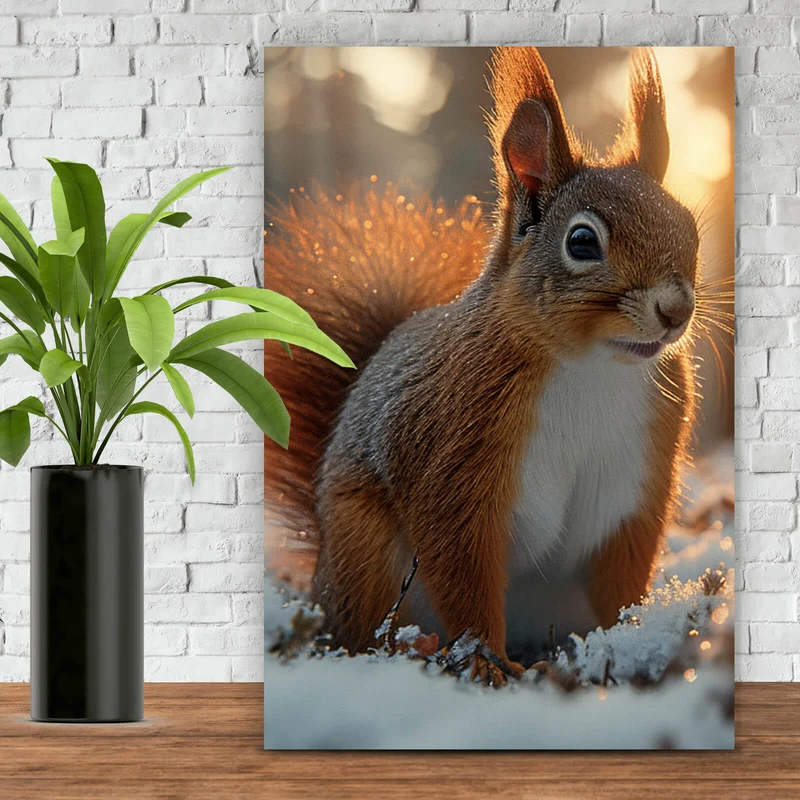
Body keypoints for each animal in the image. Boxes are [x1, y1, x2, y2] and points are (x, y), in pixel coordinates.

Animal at [264, 47, 699, 682]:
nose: (676, 310)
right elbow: (461, 563)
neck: (593, 366)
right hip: (365, 556)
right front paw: (484, 662)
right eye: (582, 242)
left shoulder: (635, 481)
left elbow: (624, 569)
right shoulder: (455, 454)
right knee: (366, 627)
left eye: (690, 227)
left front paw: (631, 637)